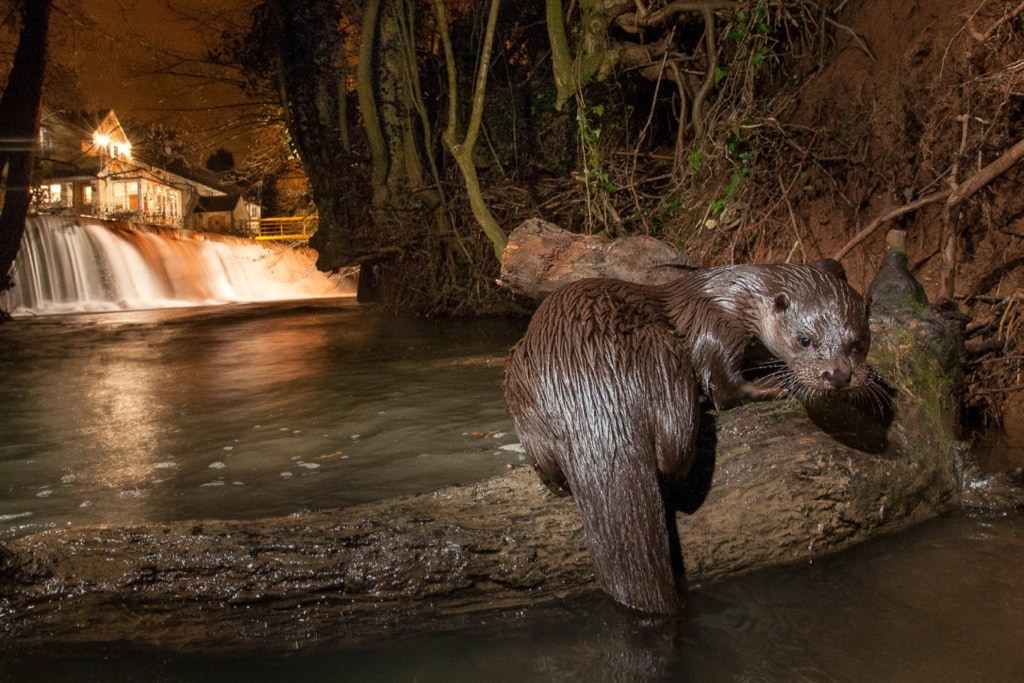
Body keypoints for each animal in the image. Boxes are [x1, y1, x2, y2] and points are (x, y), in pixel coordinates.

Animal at [503, 260, 872, 614]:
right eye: (804, 340)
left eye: (859, 342)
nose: (837, 375)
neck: (735, 298)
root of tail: (595, 389)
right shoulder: (714, 328)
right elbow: (723, 385)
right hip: (664, 359)